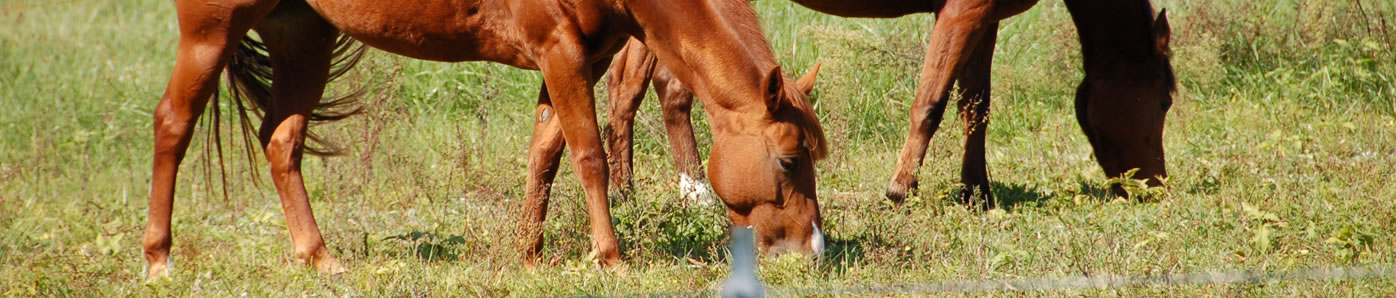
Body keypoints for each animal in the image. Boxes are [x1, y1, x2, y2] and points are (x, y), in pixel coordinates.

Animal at [792, 0, 1172, 204]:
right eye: (1165, 101)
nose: (1157, 187)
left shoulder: (984, 19)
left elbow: (975, 107)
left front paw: (977, 192)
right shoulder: (962, 14)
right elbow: (930, 104)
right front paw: (901, 189)